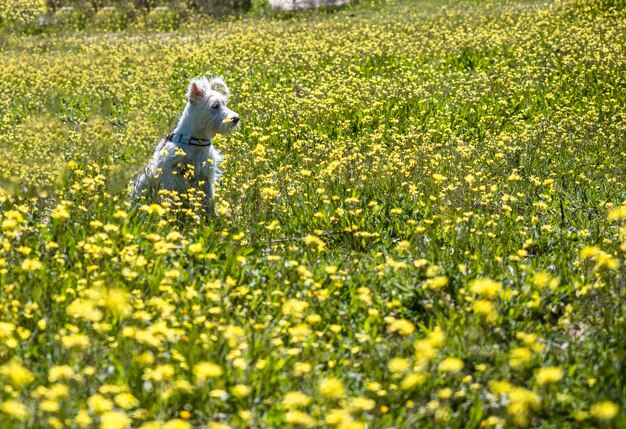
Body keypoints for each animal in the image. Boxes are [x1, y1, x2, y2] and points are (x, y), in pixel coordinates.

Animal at [132, 76, 239, 211]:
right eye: (215, 105)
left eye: (225, 103)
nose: (236, 119)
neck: (195, 141)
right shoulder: (171, 175)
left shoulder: (206, 177)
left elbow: (209, 201)